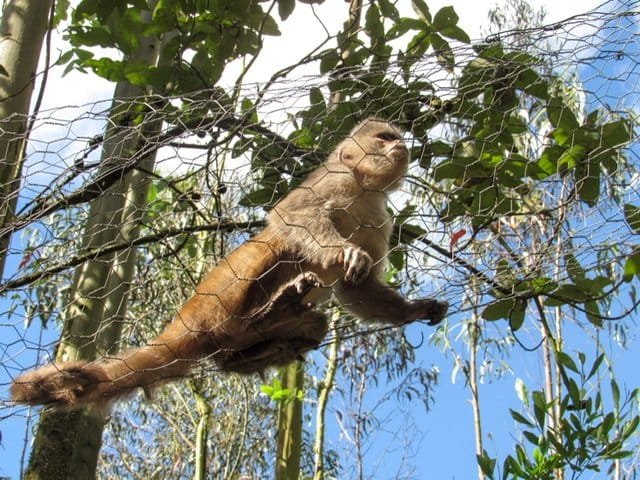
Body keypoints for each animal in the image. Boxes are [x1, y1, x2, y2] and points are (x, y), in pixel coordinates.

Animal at [11, 119, 450, 408]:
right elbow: (291, 216)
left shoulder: (380, 217)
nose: (400, 147)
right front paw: (339, 252)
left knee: (304, 325)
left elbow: (356, 288)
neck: (363, 191)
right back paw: (259, 314)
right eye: (384, 138)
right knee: (268, 247)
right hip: (210, 304)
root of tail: (186, 322)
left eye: (395, 138)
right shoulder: (335, 180)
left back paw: (247, 348)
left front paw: (414, 309)